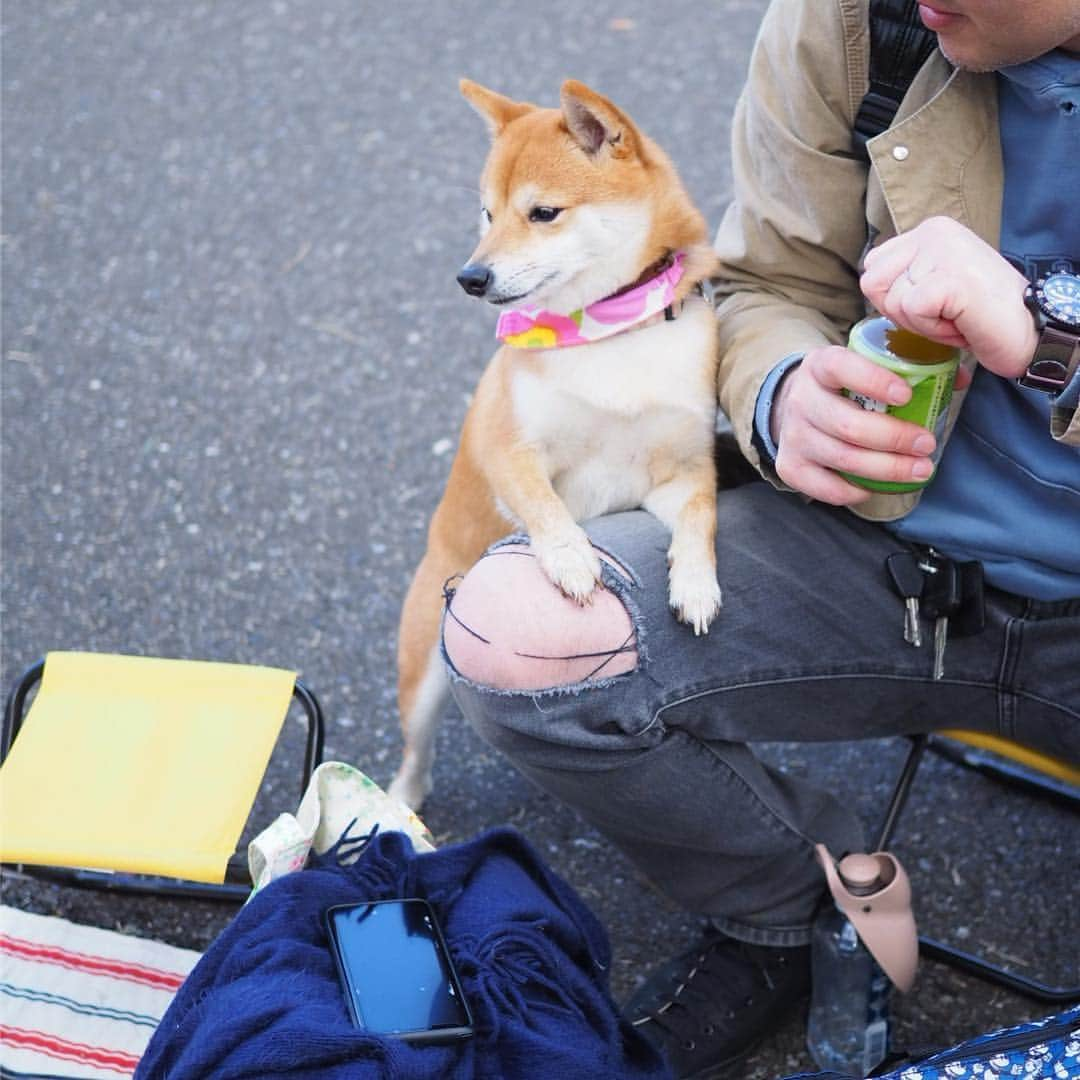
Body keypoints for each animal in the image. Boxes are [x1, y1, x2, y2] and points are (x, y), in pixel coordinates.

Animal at [393, 79, 721, 807]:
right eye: (486, 214)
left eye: (542, 213)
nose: (470, 277)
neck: (610, 333)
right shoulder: (508, 449)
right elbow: (543, 505)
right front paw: (571, 558)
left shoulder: (683, 469)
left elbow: (701, 516)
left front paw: (696, 582)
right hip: (426, 660)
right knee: (414, 751)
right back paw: (396, 804)